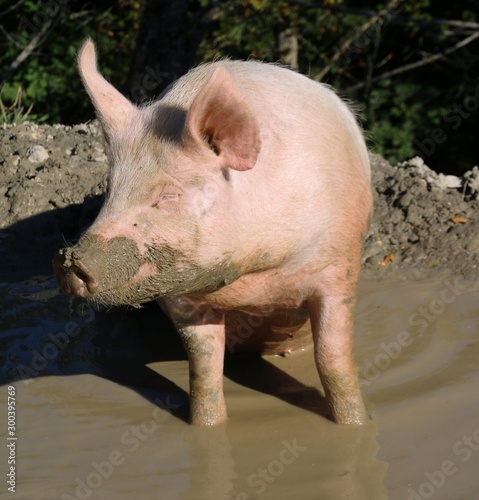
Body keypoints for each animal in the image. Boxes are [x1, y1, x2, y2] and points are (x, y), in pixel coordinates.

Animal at [53, 40, 376, 426]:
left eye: (168, 195)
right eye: (111, 189)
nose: (72, 260)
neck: (257, 277)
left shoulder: (339, 266)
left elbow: (332, 358)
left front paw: (355, 423)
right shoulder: (183, 298)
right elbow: (204, 368)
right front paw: (207, 426)